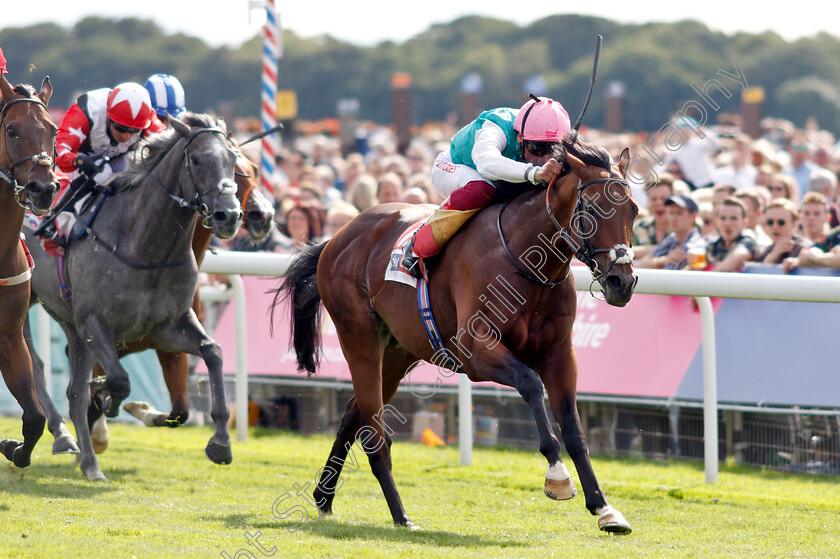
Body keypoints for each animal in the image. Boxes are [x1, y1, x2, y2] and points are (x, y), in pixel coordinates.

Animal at [21, 112, 243, 482]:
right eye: (197, 160)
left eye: (234, 162)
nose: (230, 215)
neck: (144, 246)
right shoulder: (94, 321)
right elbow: (119, 381)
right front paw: (108, 398)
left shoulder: (168, 327)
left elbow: (213, 352)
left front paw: (221, 443)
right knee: (35, 366)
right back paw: (64, 434)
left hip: (69, 322)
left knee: (73, 391)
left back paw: (89, 461)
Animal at [276, 133, 636, 536]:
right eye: (592, 210)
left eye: (634, 211)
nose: (622, 282)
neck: (527, 257)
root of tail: (337, 236)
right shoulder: (475, 349)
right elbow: (530, 383)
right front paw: (557, 477)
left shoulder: (559, 354)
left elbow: (574, 430)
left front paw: (605, 509)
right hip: (359, 338)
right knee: (376, 434)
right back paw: (401, 515)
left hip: (399, 352)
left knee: (354, 417)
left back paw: (324, 498)